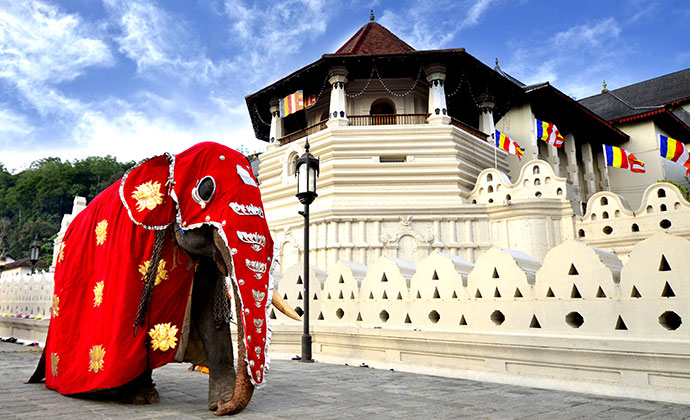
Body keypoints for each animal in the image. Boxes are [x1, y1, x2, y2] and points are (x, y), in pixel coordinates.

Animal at [29, 140, 298, 414]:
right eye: (206, 189)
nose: (225, 406)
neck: (172, 161)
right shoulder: (133, 244)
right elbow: (133, 319)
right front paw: (139, 396)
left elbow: (207, 310)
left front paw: (219, 402)